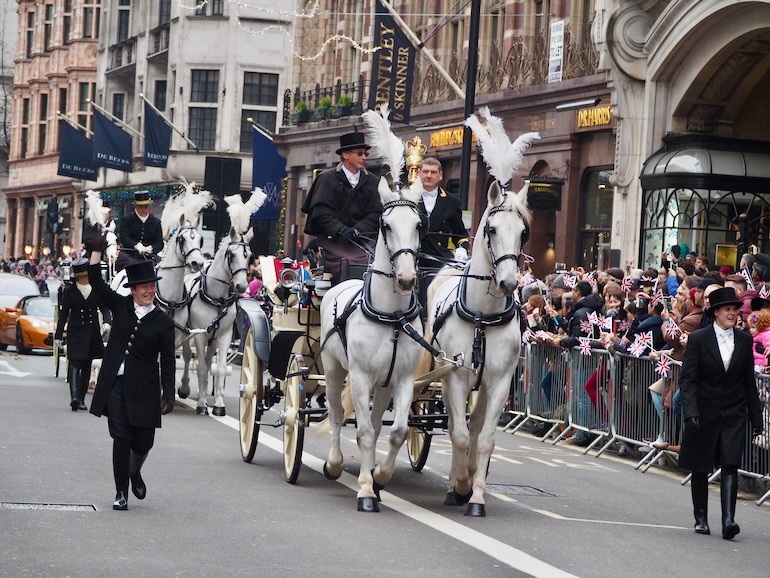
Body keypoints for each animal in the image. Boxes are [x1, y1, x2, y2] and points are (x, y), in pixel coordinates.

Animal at [426, 107, 540, 512]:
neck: (482, 316)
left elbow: (486, 437)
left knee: (474, 426)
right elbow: (458, 434)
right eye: (490, 229)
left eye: (523, 232)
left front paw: (475, 495)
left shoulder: (500, 381)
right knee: (456, 425)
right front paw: (457, 485)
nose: (507, 283)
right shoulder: (455, 376)